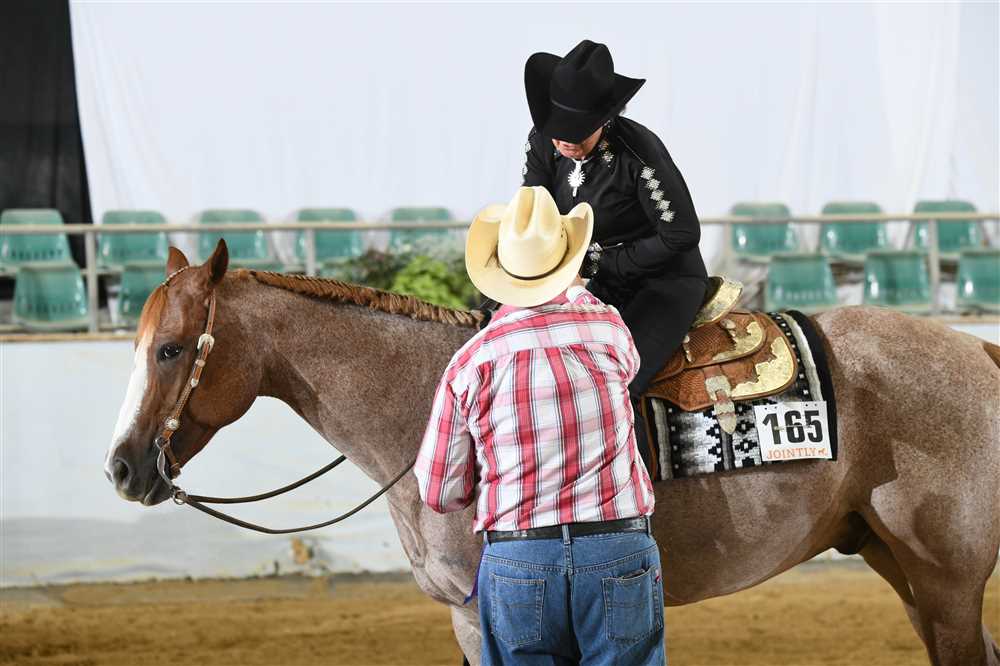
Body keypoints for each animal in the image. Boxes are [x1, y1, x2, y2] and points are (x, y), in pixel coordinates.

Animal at [104, 241, 1000, 666]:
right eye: (141, 343)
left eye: (173, 349)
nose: (121, 467)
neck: (423, 395)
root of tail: (976, 350)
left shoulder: (483, 612)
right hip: (900, 568)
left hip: (949, 582)